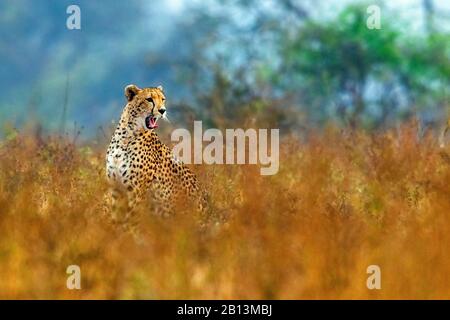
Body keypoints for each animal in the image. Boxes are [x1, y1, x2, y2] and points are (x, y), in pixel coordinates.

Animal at [106, 84, 208, 226]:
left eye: (163, 99)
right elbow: (116, 218)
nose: (163, 111)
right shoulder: (116, 188)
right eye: (149, 99)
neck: (126, 136)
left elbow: (131, 220)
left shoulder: (137, 191)